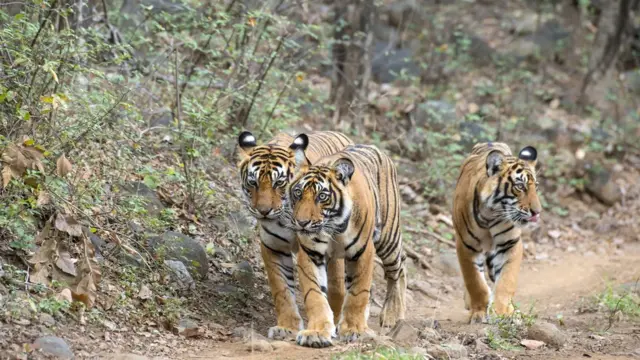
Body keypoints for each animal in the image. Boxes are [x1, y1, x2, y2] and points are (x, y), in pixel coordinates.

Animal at [236, 129, 356, 340]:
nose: (263, 211)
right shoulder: (273, 247)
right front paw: (287, 327)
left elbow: (320, 289)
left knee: (337, 285)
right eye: (253, 182)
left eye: (279, 183)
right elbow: (281, 289)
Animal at [284, 134, 408, 346]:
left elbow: (358, 293)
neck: (333, 227)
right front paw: (316, 332)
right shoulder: (310, 254)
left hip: (388, 239)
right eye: (298, 193)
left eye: (322, 196)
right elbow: (314, 294)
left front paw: (354, 330)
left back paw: (392, 315)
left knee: (398, 269)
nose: (302, 223)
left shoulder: (363, 252)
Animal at [452, 143, 544, 324]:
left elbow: (506, 282)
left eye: (535, 187)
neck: (490, 214)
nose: (537, 212)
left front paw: (503, 312)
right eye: (520, 186)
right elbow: (475, 282)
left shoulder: (510, 244)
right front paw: (479, 312)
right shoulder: (466, 246)